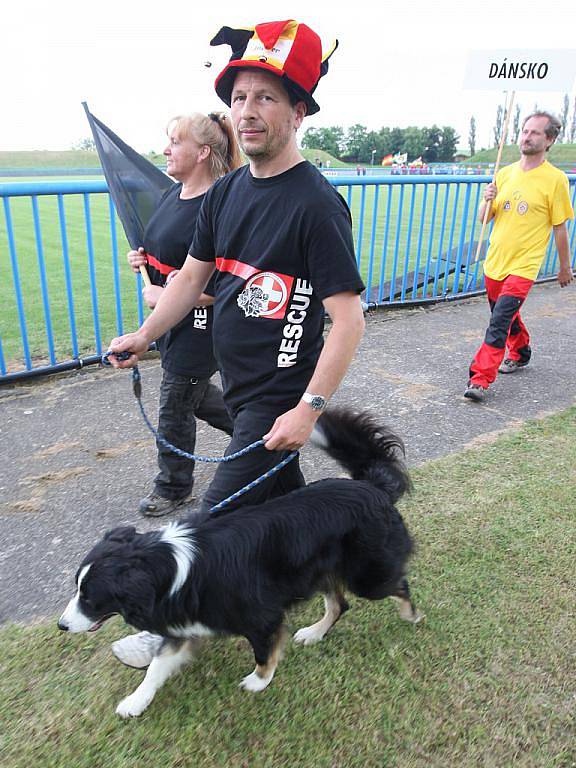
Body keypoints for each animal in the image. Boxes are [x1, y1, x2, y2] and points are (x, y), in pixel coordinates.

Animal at [58, 412, 424, 716]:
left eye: (90, 598)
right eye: (77, 589)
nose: (62, 626)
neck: (170, 568)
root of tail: (371, 487)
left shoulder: (261, 615)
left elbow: (263, 652)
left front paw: (259, 681)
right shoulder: (184, 622)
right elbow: (157, 667)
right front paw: (136, 702)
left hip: (367, 574)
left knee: (397, 584)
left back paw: (412, 615)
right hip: (318, 571)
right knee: (339, 604)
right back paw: (314, 633)